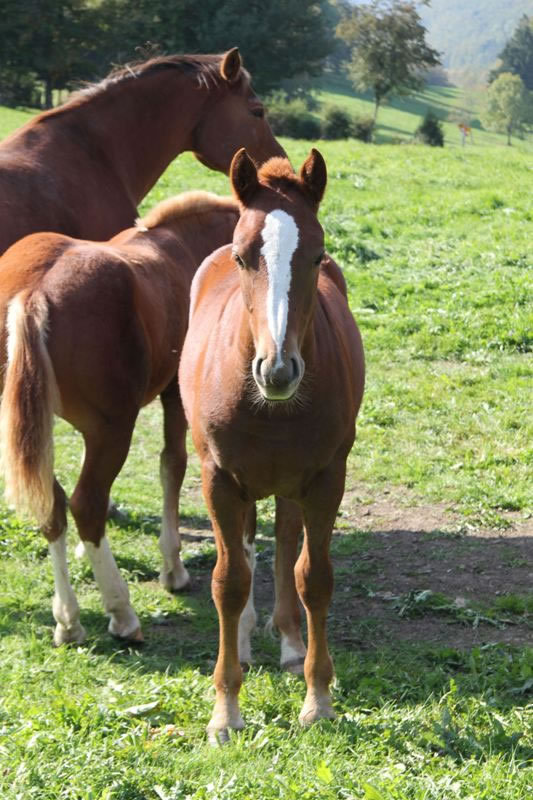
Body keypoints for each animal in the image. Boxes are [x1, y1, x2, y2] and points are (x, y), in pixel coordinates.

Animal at [0, 191, 239, 646]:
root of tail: (32, 293)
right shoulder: (175, 394)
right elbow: (172, 465)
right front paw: (173, 568)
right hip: (112, 427)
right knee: (86, 503)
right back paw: (121, 613)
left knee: (54, 505)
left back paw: (68, 620)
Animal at [179, 148, 365, 740]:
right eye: (243, 257)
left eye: (318, 256)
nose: (277, 370)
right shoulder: (218, 478)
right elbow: (228, 581)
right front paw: (225, 711)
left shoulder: (327, 477)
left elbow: (313, 576)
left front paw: (318, 698)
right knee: (242, 549)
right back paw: (242, 640)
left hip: (290, 483)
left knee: (284, 543)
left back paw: (287, 641)